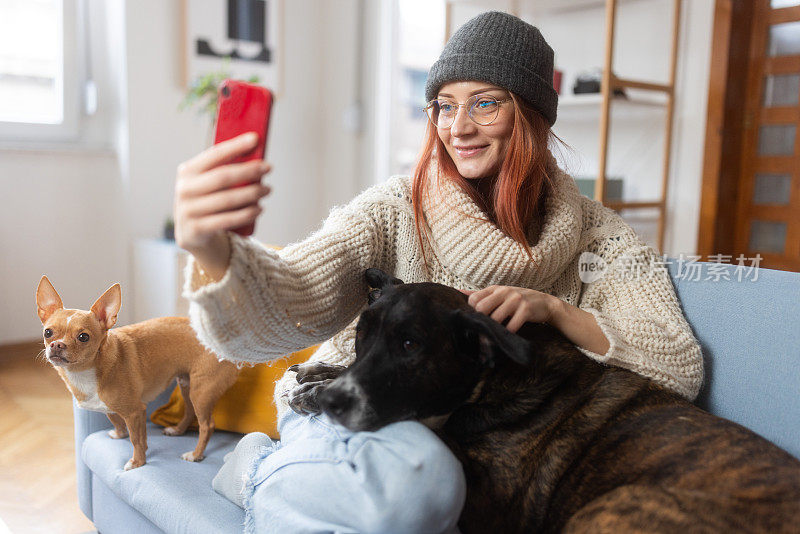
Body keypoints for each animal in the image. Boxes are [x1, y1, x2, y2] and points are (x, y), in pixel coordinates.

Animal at [290, 270, 800, 532]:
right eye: (362, 335)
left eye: (411, 346)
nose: (335, 401)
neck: (492, 376)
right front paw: (318, 377)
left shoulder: (491, 507)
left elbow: (431, 426)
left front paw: (318, 391)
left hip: (617, 506)